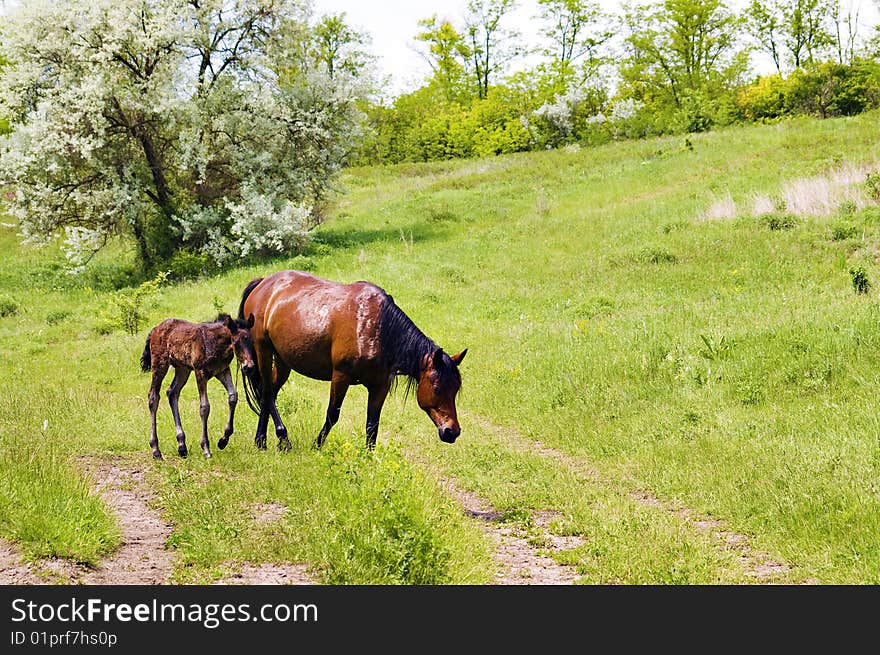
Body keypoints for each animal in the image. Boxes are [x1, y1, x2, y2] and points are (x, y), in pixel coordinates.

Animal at [141, 314, 256, 458]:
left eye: (252, 342)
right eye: (236, 342)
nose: (249, 367)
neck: (215, 343)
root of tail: (155, 329)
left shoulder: (222, 370)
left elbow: (233, 396)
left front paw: (223, 440)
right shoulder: (200, 372)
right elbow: (205, 407)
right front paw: (206, 448)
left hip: (183, 368)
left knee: (172, 392)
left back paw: (182, 446)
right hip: (160, 364)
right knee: (153, 397)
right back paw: (156, 449)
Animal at [234, 272, 468, 452]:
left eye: (455, 390)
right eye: (437, 388)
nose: (452, 431)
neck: (379, 329)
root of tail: (263, 283)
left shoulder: (380, 386)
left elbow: (372, 425)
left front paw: (369, 459)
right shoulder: (341, 376)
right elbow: (332, 415)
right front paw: (316, 447)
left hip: (284, 361)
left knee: (269, 393)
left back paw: (262, 441)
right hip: (263, 350)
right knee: (266, 392)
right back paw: (281, 438)